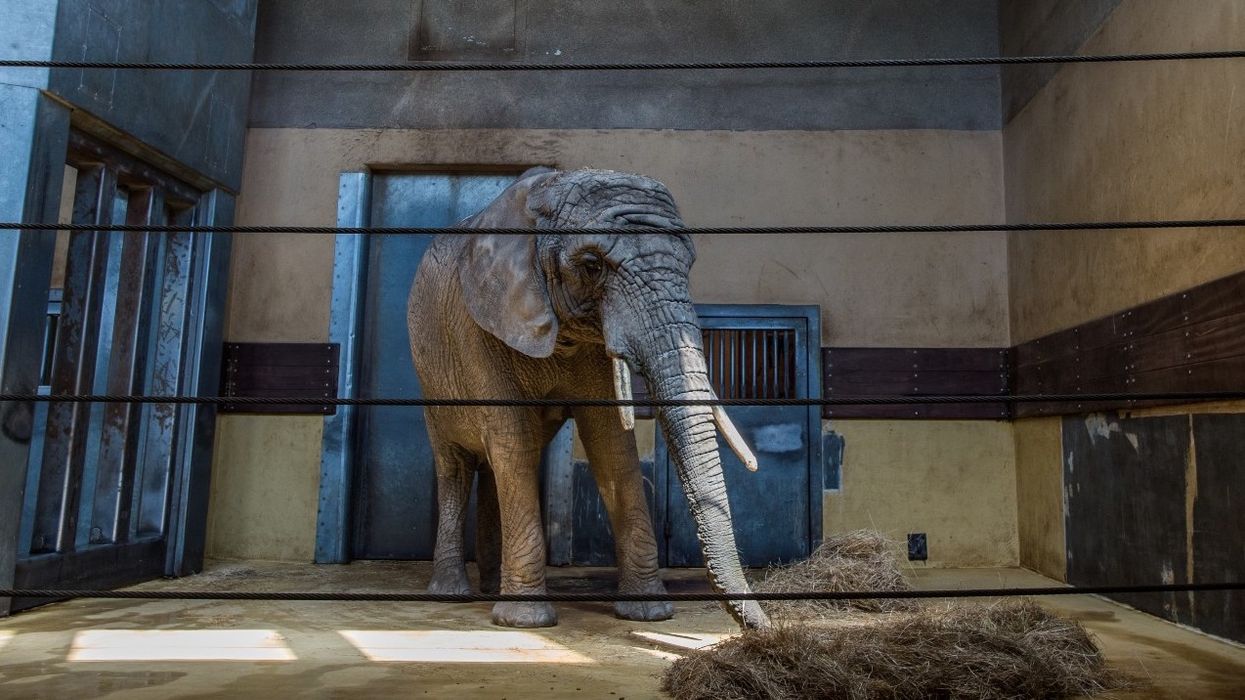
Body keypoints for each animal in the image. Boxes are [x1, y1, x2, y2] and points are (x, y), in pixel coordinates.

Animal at [407, 166, 769, 630]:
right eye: (592, 266)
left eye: (689, 264)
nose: (767, 627)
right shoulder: (478, 326)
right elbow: (511, 435)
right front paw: (527, 621)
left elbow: (610, 441)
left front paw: (648, 613)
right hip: (431, 377)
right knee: (456, 466)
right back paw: (451, 593)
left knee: (493, 466)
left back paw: (489, 587)